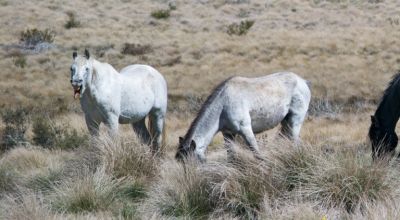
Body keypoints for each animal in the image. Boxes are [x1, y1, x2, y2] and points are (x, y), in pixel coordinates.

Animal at [177, 72, 310, 162]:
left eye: (192, 162)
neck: (223, 105)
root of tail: (303, 81)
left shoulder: (246, 130)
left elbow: (257, 154)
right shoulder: (228, 134)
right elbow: (231, 157)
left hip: (295, 121)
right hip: (286, 122)